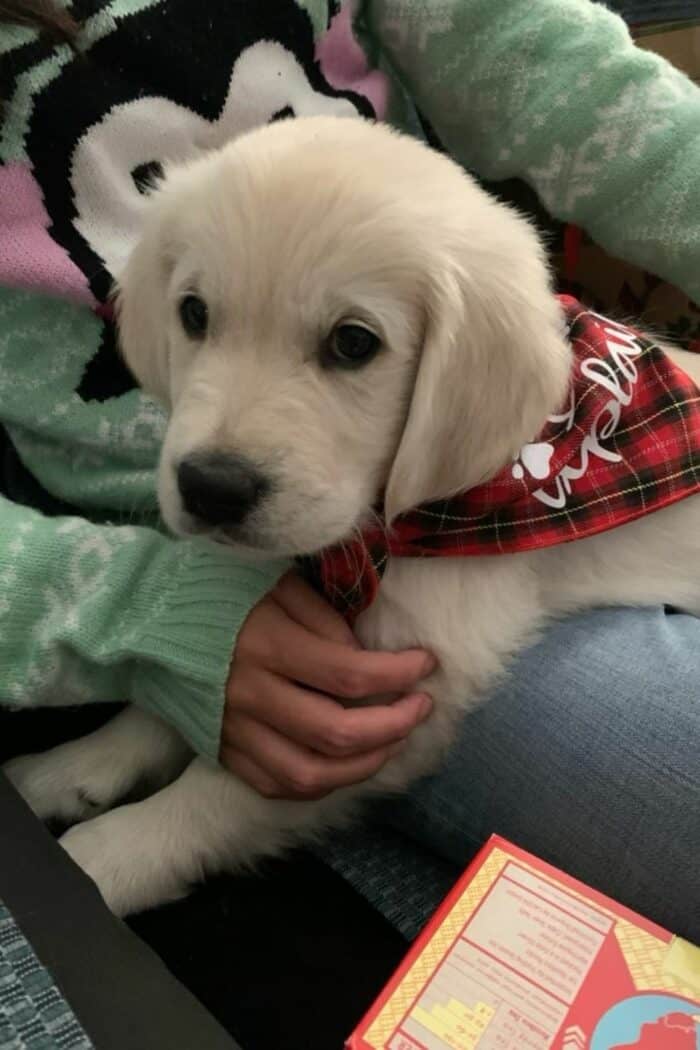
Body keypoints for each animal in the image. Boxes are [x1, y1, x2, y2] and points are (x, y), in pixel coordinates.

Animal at [5, 119, 700, 915]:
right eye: (194, 314)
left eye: (354, 342)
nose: (211, 488)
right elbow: (187, 696)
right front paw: (77, 765)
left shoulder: (400, 699)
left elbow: (215, 798)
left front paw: (99, 863)